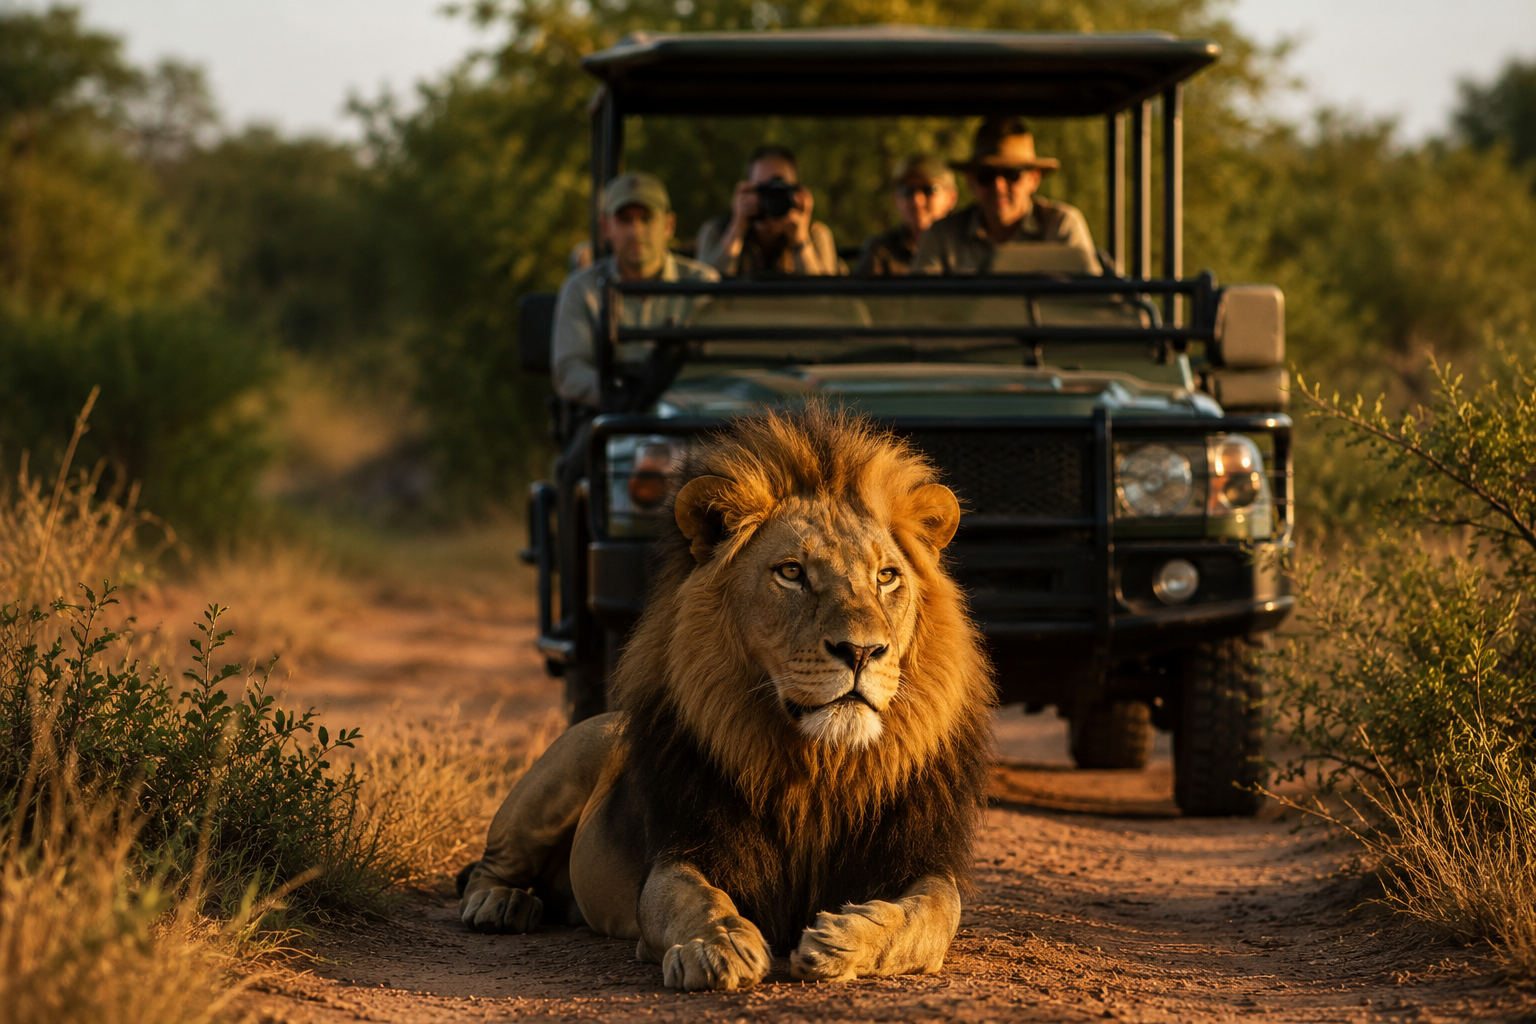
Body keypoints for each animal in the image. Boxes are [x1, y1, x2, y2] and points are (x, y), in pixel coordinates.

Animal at [456, 406, 994, 990]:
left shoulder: (918, 860)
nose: (862, 651)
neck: (818, 770)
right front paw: (717, 947)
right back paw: (500, 905)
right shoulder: (683, 852)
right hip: (557, 773)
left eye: (887, 576)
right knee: (490, 866)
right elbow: (696, 900)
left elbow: (932, 914)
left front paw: (842, 941)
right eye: (792, 573)